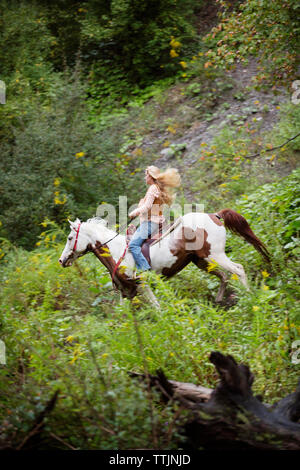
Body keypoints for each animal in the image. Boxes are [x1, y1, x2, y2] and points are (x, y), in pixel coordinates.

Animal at [58, 209, 270, 304]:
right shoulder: (126, 293)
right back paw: (219, 301)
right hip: (202, 261)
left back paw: (251, 297)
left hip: (215, 256)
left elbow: (157, 307)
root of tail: (215, 215)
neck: (117, 252)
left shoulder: (142, 285)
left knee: (238, 270)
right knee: (224, 277)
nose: (61, 260)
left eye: (69, 238)